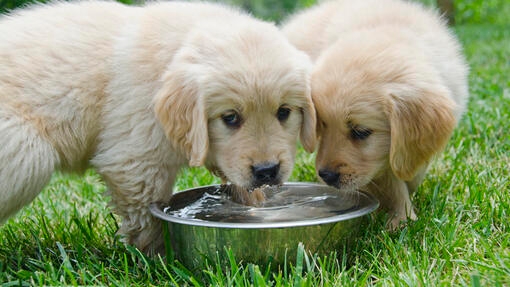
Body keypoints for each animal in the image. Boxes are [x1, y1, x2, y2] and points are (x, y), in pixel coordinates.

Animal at [0, 1, 314, 254]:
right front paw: (159, 255)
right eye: (230, 118)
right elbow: (147, 214)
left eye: (284, 112)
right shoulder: (136, 160)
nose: (266, 171)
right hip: (27, 152)